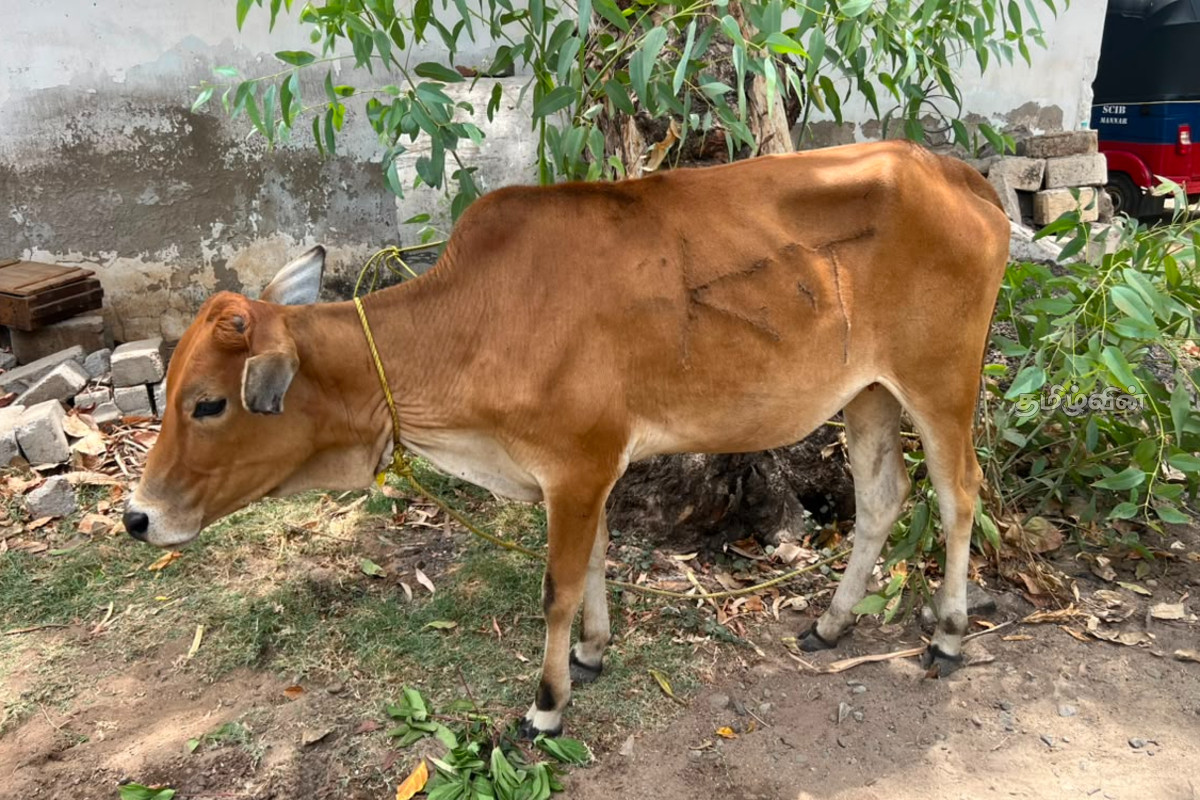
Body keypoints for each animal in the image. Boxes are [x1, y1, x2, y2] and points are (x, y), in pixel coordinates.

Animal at [123, 140, 1010, 738]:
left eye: (208, 403)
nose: (137, 516)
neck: (469, 326)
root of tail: (953, 173)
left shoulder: (578, 466)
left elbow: (556, 585)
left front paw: (547, 705)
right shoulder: (587, 472)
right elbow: (593, 567)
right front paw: (592, 653)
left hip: (939, 380)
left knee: (959, 493)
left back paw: (949, 636)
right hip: (867, 392)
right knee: (883, 498)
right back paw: (832, 623)